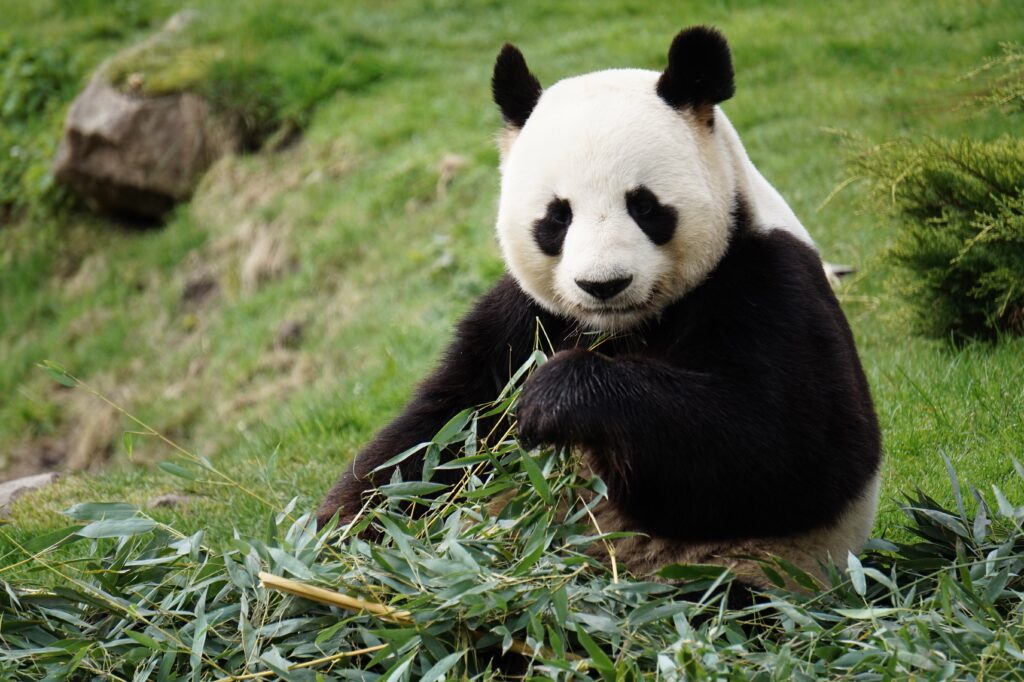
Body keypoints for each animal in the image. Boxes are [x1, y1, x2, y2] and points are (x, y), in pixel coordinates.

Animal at [317, 26, 882, 592]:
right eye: (557, 217)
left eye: (645, 206)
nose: (603, 284)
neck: (620, 327)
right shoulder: (525, 320)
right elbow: (438, 433)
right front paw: (338, 538)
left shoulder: (768, 282)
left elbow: (788, 447)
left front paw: (552, 398)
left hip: (733, 571)